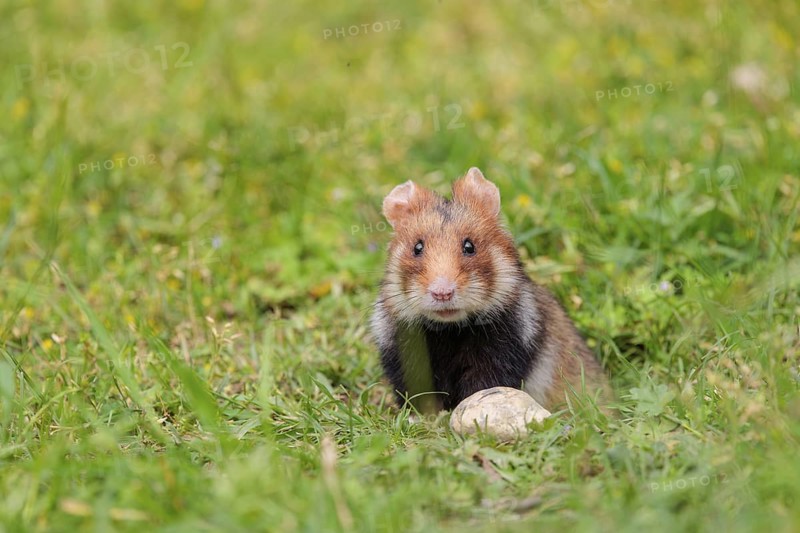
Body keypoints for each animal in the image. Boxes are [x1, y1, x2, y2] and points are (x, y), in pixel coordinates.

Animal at [370, 167, 610, 413]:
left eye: (469, 246)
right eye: (417, 247)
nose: (442, 293)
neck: (449, 330)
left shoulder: (501, 353)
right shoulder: (405, 354)